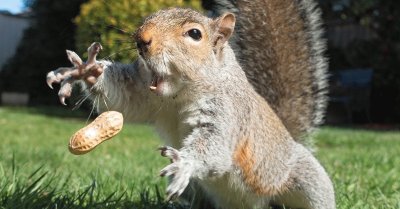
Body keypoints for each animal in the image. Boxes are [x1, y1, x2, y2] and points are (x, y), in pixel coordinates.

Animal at [45, 0, 334, 208]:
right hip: (198, 190)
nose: (141, 40)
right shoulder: (142, 92)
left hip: (304, 181)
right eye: (149, 18)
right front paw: (86, 70)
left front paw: (185, 162)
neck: (180, 95)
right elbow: (123, 98)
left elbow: (215, 146)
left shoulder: (228, 113)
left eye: (194, 34)